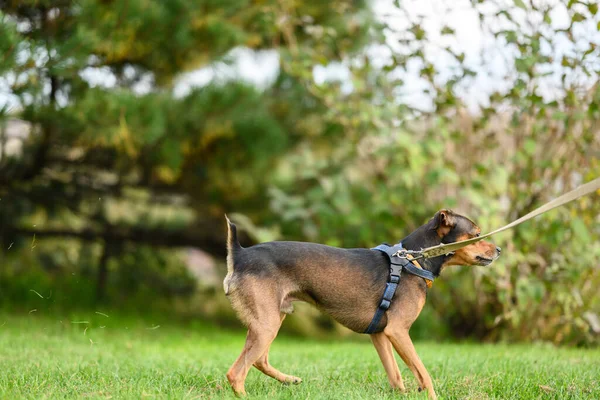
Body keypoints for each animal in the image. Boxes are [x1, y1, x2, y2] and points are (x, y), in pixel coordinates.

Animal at [223, 211, 500, 398]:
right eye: (477, 235)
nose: (498, 250)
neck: (413, 260)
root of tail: (240, 254)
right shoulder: (398, 331)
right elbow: (423, 372)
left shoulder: (380, 334)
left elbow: (396, 375)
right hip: (267, 325)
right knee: (236, 374)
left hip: (271, 319)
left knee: (258, 361)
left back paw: (289, 380)